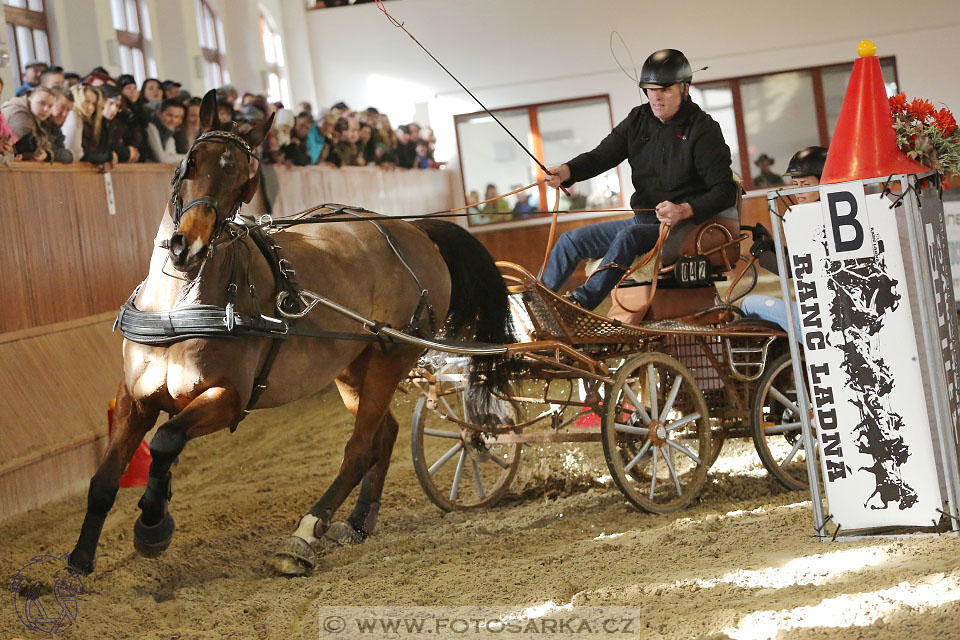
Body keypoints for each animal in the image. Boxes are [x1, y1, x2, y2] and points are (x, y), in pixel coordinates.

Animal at [68, 89, 512, 576]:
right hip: (352, 366)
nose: (189, 246)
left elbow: (166, 442)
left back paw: (304, 534)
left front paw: (152, 525)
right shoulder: (134, 398)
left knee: (360, 446)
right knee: (385, 433)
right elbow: (104, 480)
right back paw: (357, 520)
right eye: (190, 160)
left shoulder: (229, 398)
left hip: (389, 357)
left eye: (245, 181)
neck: (177, 309)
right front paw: (81, 558)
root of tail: (413, 229)